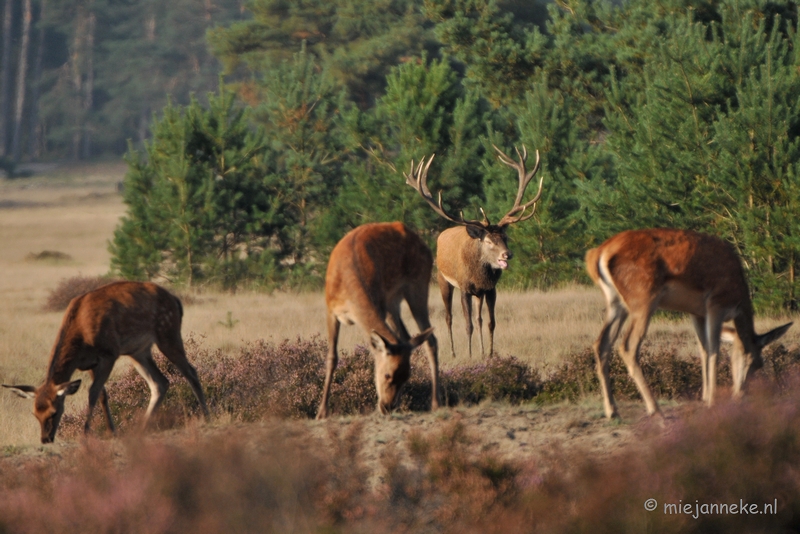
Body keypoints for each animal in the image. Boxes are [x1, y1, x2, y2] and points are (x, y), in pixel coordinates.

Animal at [3, 282, 208, 446]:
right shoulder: (90, 363)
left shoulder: (109, 353)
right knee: (160, 382)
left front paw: (86, 433)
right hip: (139, 351)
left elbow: (92, 392)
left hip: (167, 332)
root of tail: (176, 301)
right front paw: (112, 431)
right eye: (35, 413)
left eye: (54, 412)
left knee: (190, 371)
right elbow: (102, 394)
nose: (45, 439)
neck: (81, 338)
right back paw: (142, 427)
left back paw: (206, 416)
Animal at [316, 223, 440, 422]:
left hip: (418, 284)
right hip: (393, 301)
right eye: (388, 374)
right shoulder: (331, 310)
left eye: (407, 376)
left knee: (430, 339)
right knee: (406, 337)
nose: (387, 406)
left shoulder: (379, 303)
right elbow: (331, 357)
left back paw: (435, 403)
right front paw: (321, 412)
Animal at [406, 146, 544, 360]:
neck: (479, 275)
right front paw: (470, 355)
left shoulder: (490, 289)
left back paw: (480, 350)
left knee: (478, 319)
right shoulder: (464, 288)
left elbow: (490, 322)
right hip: (442, 279)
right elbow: (468, 324)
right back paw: (453, 352)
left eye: (505, 237)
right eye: (488, 241)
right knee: (448, 317)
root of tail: (442, 234)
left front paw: (489, 353)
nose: (507, 255)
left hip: (478, 293)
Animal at [584, 228, 792, 420]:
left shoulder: (696, 313)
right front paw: (712, 401)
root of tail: (598, 253)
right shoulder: (716, 304)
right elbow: (714, 350)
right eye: (756, 361)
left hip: (616, 304)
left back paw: (612, 411)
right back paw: (656, 412)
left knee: (601, 343)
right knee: (628, 346)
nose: (741, 394)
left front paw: (705, 398)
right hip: (643, 301)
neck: (739, 295)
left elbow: (703, 349)